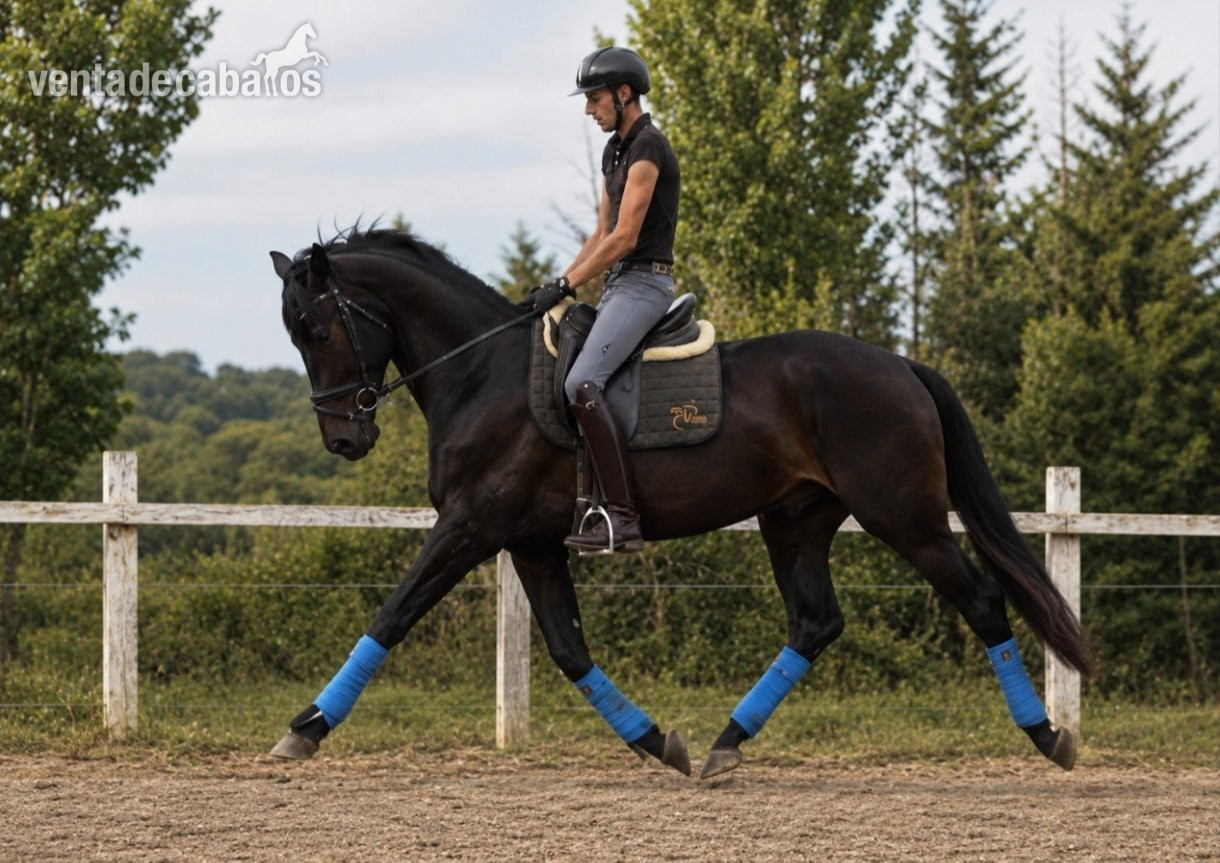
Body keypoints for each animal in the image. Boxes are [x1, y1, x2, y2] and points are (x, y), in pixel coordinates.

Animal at [267, 227, 1092, 779]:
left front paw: (306, 726)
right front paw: (655, 739)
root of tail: (900, 364)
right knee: (815, 621)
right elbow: (569, 648)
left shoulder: (470, 525)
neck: (481, 371)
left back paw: (1049, 736)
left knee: (981, 600)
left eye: (316, 327)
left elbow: (391, 614)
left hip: (905, 518)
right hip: (795, 520)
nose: (344, 437)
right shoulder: (529, 541)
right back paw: (726, 743)